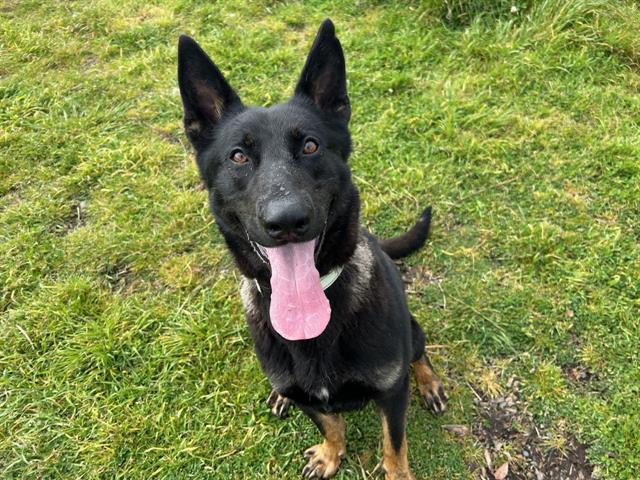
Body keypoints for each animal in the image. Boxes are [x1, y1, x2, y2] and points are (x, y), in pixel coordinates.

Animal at [178, 19, 448, 480]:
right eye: (238, 156)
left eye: (310, 146)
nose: (286, 221)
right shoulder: (310, 399)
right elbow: (331, 422)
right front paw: (331, 453)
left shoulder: (392, 393)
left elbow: (393, 447)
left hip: (412, 333)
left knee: (420, 354)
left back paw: (429, 383)